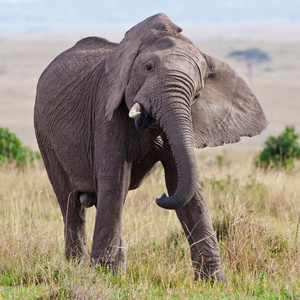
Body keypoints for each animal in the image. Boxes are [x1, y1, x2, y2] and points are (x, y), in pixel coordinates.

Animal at [33, 13, 268, 282]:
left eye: (197, 95)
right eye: (148, 68)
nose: (160, 197)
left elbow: (181, 183)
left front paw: (214, 282)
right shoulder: (106, 106)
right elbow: (115, 178)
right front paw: (103, 276)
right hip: (44, 131)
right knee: (71, 202)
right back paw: (77, 268)